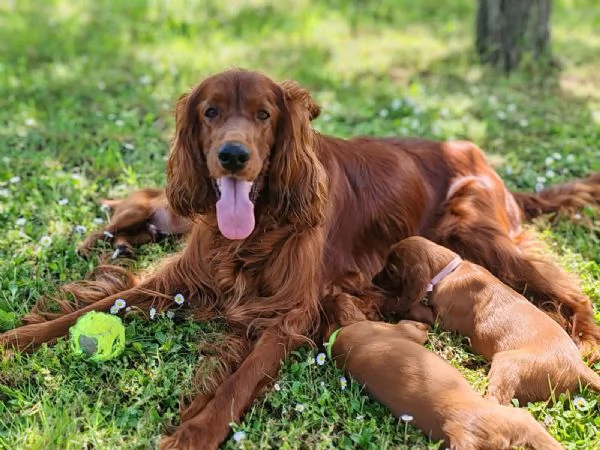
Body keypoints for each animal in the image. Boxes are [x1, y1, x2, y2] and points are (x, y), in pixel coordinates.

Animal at [376, 236, 600, 404]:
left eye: (391, 269)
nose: (372, 280)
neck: (450, 271)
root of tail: (579, 367)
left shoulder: (442, 319)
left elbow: (414, 307)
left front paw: (388, 303)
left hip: (508, 362)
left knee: (497, 402)